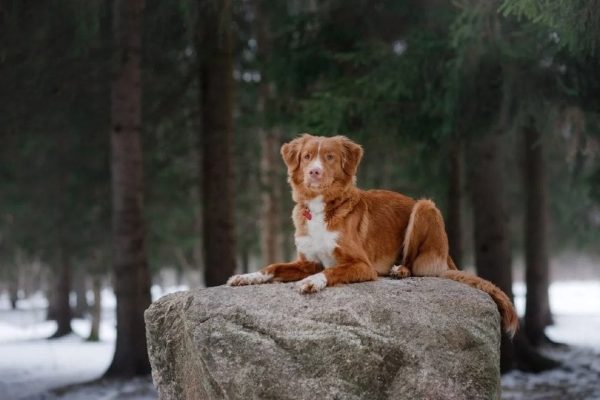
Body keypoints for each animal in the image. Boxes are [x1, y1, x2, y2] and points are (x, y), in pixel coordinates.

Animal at [227, 134, 516, 338]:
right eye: (307, 156)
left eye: (329, 157)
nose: (314, 172)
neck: (323, 206)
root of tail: (447, 256)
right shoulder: (306, 261)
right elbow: (273, 267)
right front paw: (247, 276)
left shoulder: (362, 265)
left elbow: (331, 270)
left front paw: (312, 282)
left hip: (425, 207)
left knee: (415, 264)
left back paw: (400, 270)